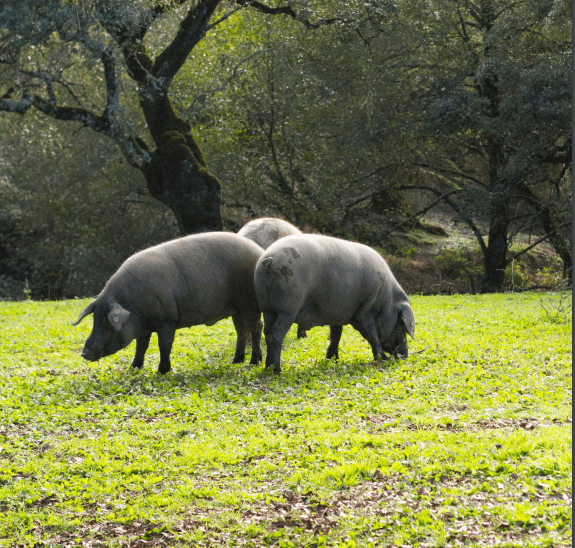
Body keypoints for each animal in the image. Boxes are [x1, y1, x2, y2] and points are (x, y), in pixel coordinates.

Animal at [70, 231, 266, 372]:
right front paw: (134, 368)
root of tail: (259, 250)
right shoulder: (144, 328)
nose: (85, 353)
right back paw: (236, 362)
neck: (134, 305)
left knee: (257, 328)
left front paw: (162, 371)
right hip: (236, 308)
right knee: (241, 331)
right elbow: (141, 347)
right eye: (95, 319)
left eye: (107, 323)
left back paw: (254, 362)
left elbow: (164, 346)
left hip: (250, 303)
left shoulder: (167, 321)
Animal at [255, 233, 414, 374]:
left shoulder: (338, 313)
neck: (386, 300)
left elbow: (336, 335)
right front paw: (384, 359)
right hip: (287, 309)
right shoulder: (365, 313)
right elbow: (372, 336)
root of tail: (269, 260)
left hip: (267, 308)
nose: (405, 356)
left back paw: (267, 367)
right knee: (276, 334)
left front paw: (333, 359)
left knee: (267, 332)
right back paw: (277, 370)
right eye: (401, 324)